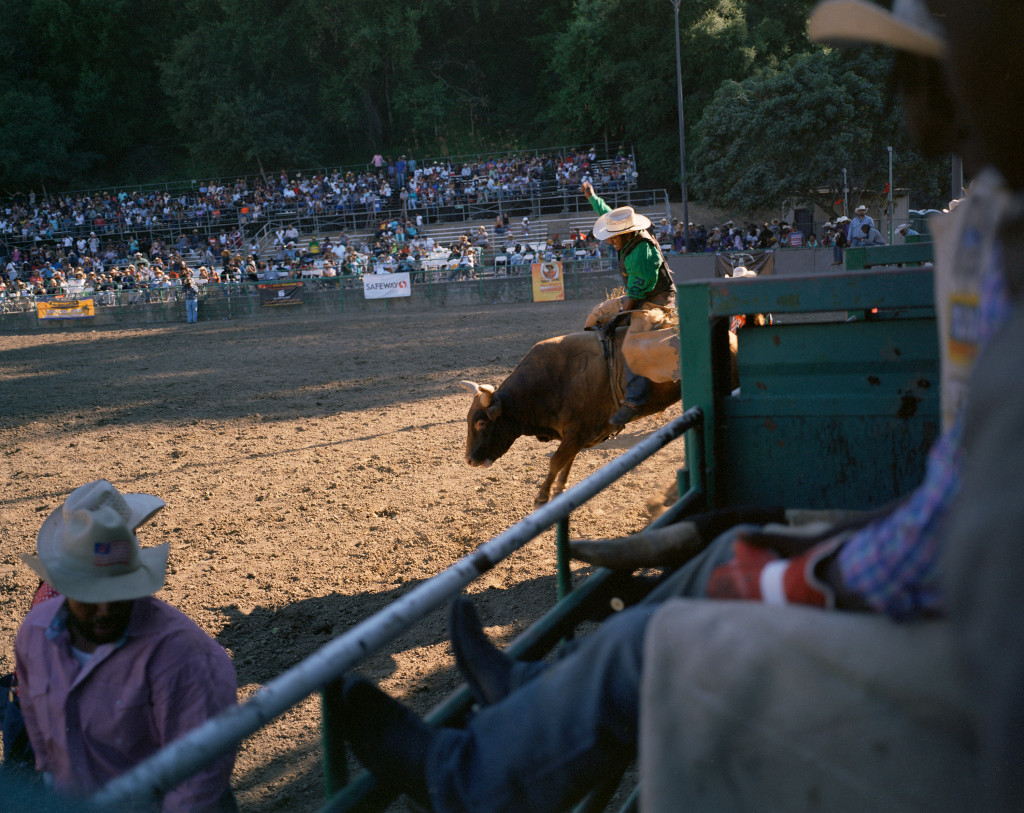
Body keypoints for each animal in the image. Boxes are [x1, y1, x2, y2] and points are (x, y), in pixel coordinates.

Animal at [458, 325, 679, 503]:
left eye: (482, 423)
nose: (468, 460)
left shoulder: (577, 432)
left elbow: (556, 461)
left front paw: (542, 497)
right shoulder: (577, 436)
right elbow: (567, 461)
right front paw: (559, 491)